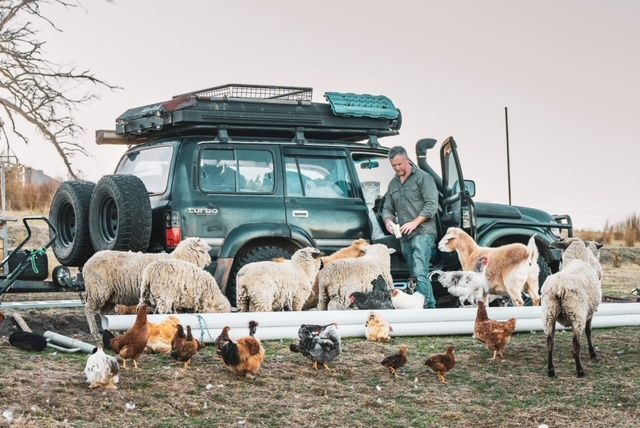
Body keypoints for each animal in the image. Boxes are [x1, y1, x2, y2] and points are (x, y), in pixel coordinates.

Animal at [81, 236, 212, 336]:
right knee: (89, 309)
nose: (210, 260)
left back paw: (112, 331)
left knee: (104, 312)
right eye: (205, 251)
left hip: (110, 295)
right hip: (98, 289)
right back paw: (95, 332)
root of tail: (87, 263)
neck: (180, 258)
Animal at [544, 237, 604, 378]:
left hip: (549, 314)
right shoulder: (589, 313)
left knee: (550, 342)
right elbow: (589, 331)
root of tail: (559, 286)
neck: (577, 258)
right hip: (577, 314)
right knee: (576, 343)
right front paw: (592, 353)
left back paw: (551, 370)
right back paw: (580, 370)